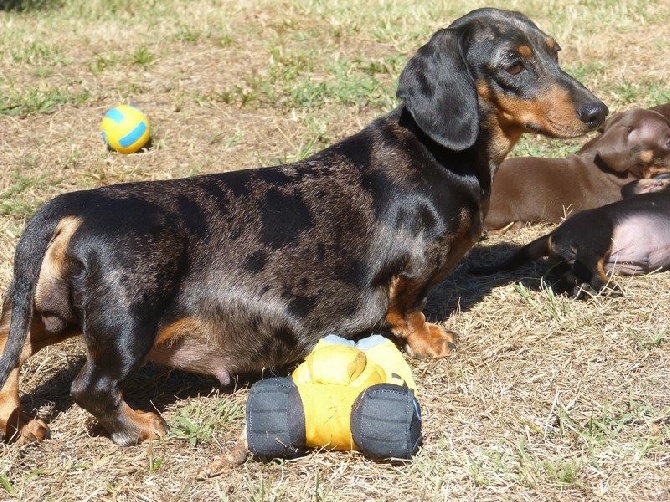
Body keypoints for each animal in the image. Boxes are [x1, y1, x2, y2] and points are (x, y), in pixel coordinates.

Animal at [0, 7, 608, 446]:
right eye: (513, 63)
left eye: (555, 52)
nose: (598, 112)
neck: (438, 155)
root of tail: (74, 206)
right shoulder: (414, 267)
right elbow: (407, 308)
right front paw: (432, 340)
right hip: (128, 321)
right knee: (90, 386)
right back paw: (139, 426)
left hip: (49, 313)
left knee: (9, 356)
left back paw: (20, 424)